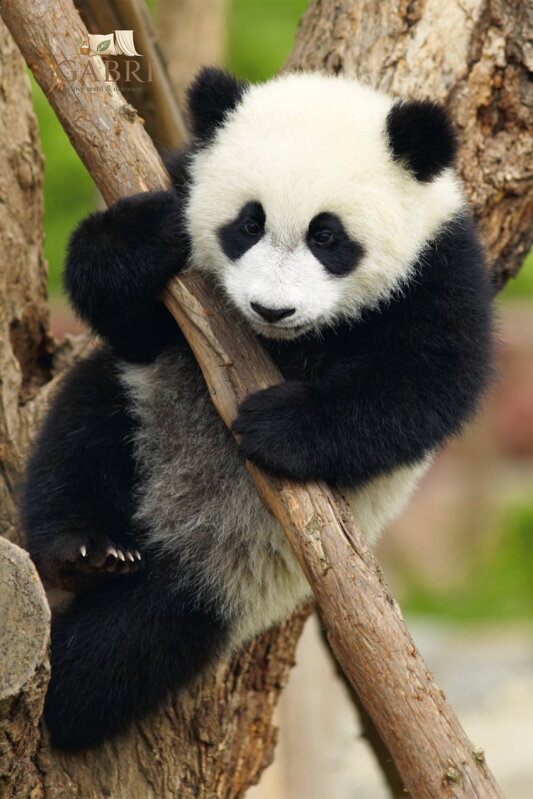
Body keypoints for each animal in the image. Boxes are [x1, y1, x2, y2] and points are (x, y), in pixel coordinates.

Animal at [22, 68, 493, 750]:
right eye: (248, 223)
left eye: (327, 236)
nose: (273, 309)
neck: (287, 345)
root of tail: (170, 528)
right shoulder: (177, 203)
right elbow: (124, 309)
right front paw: (142, 237)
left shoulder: (439, 264)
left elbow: (428, 382)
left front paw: (277, 425)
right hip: (140, 402)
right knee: (80, 435)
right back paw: (85, 549)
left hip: (242, 575)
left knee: (147, 636)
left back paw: (70, 695)